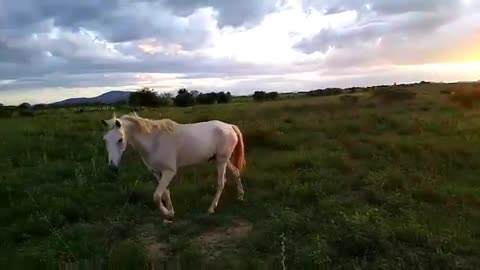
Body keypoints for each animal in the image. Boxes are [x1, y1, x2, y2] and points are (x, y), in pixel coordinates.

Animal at [100, 113, 246, 220]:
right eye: (105, 140)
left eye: (120, 139)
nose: (112, 166)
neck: (153, 141)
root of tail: (230, 126)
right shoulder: (157, 172)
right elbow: (165, 192)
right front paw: (171, 212)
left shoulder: (169, 172)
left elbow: (157, 196)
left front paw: (166, 213)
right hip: (224, 160)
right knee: (236, 172)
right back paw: (240, 196)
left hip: (221, 161)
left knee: (221, 183)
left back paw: (211, 209)